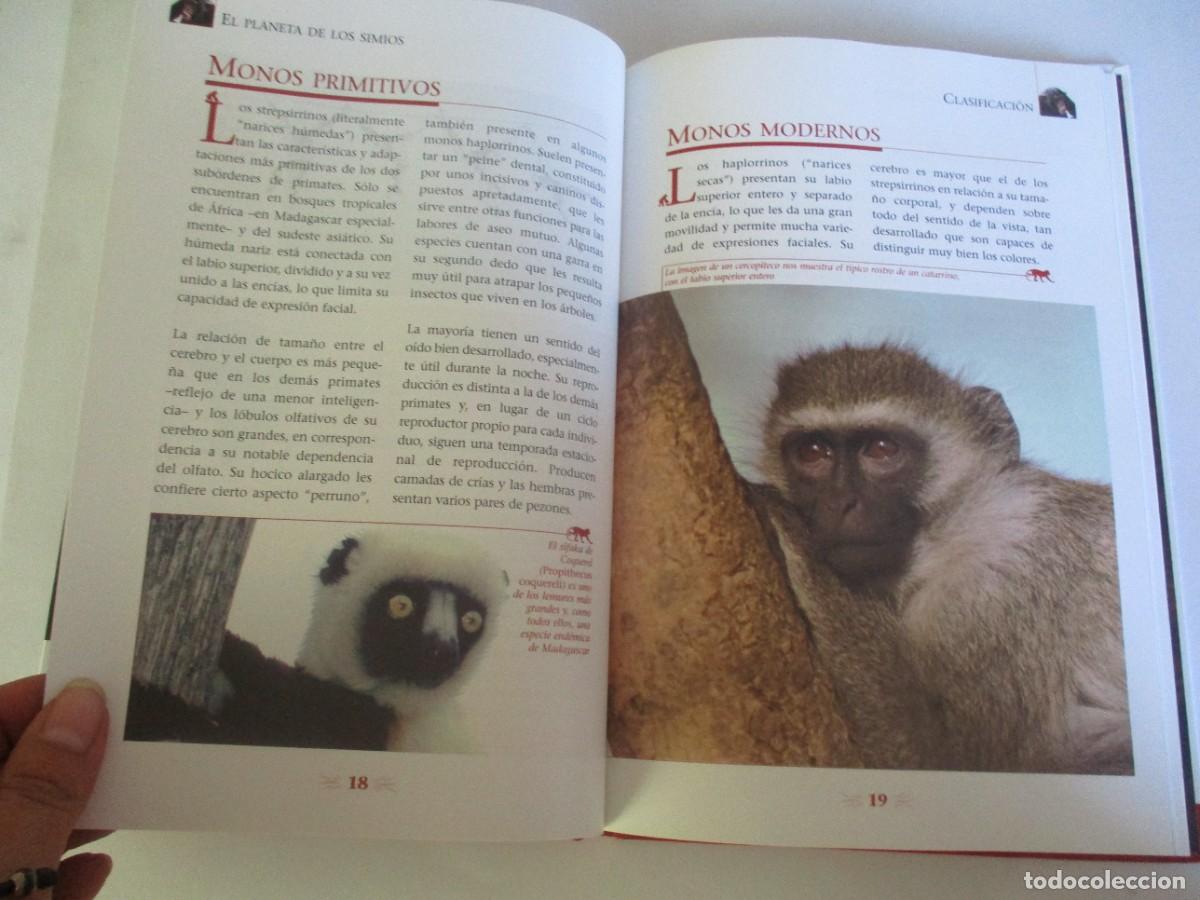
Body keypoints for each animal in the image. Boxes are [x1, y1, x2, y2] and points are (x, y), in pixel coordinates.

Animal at [753, 343, 1132, 774]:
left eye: (881, 450)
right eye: (813, 452)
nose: (839, 503)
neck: (951, 536)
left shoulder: (997, 589)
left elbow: (948, 752)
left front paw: (784, 525)